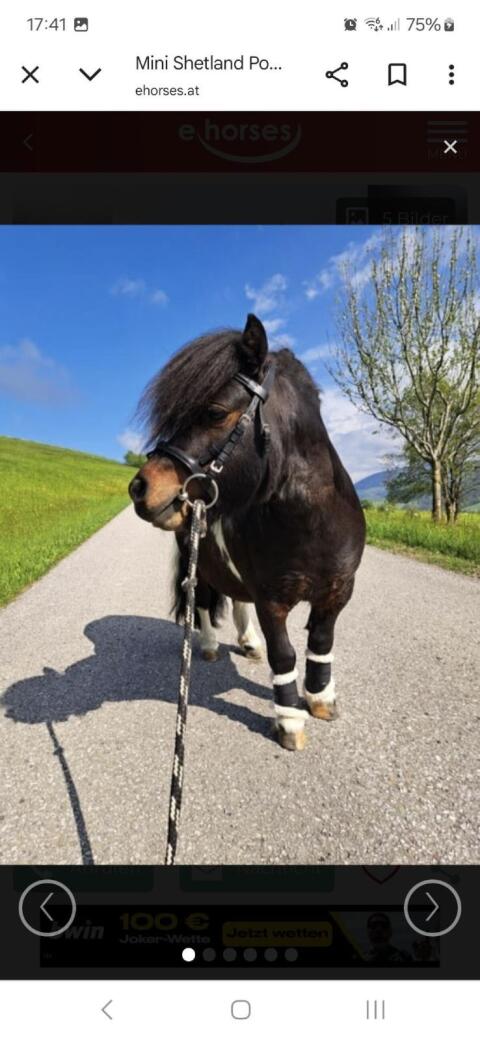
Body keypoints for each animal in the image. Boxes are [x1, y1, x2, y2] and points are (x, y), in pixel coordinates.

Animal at [129, 314, 366, 751]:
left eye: (215, 412)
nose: (140, 488)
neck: (313, 526)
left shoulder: (338, 592)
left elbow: (321, 643)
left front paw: (321, 698)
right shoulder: (271, 600)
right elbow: (284, 654)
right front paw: (289, 720)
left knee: (236, 600)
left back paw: (248, 642)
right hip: (201, 563)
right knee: (205, 602)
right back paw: (208, 646)